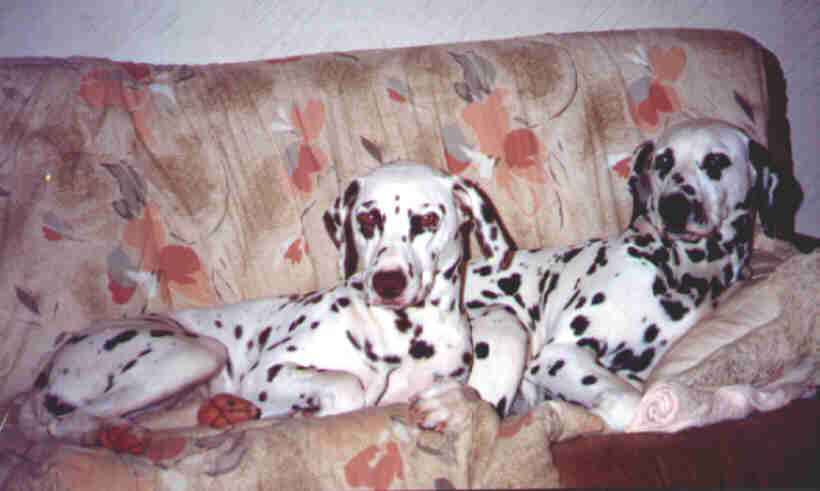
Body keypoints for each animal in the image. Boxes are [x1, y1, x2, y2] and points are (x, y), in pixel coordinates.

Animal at [19, 161, 515, 449]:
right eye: (368, 218)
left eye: (427, 220)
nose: (387, 282)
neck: (402, 333)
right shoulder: (270, 372)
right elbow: (348, 388)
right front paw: (313, 407)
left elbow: (468, 397)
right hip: (194, 352)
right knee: (70, 422)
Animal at [464, 119, 783, 430]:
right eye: (663, 160)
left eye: (716, 161)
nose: (674, 205)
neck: (681, 269)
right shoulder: (559, 354)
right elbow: (629, 405)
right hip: (505, 324)